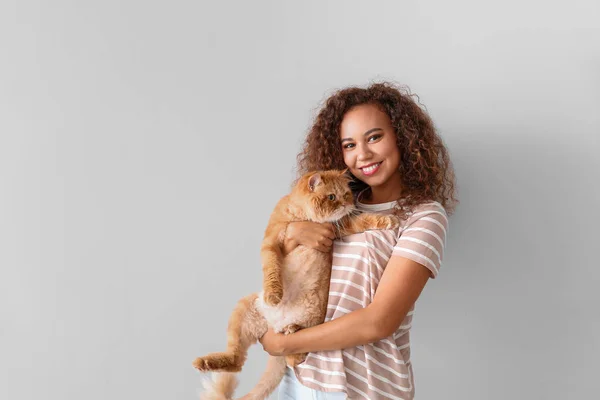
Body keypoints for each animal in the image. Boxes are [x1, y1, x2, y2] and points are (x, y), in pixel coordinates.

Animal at [193, 170, 398, 400]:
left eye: (346, 194)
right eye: (332, 197)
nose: (347, 204)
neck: (304, 217)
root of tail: (274, 326)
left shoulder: (338, 228)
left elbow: (364, 220)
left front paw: (388, 219)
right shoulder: (272, 243)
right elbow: (272, 271)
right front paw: (274, 295)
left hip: (311, 327)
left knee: (292, 356)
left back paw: (291, 330)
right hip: (242, 312)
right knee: (237, 360)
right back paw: (205, 362)